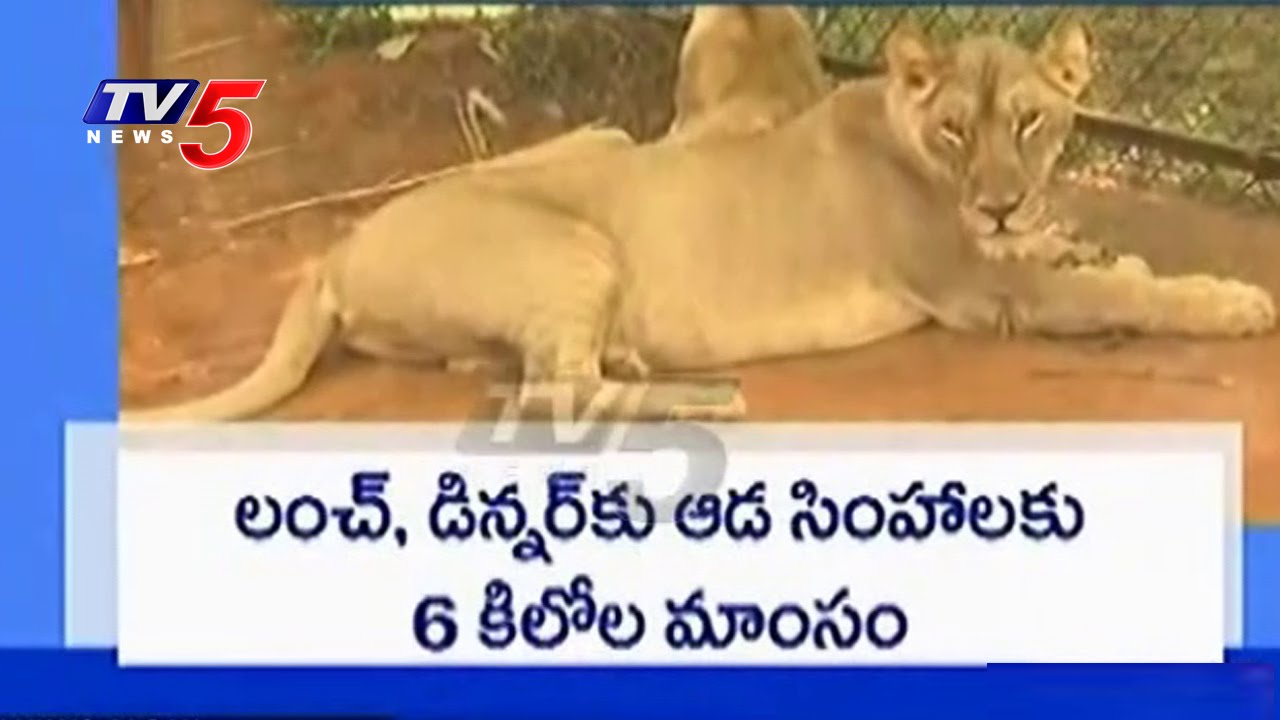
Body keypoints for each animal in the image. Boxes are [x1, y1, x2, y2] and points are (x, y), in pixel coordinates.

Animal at [120, 20, 1275, 423]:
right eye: (956, 130)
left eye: (1031, 121)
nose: (996, 198)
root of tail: (334, 250)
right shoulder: (978, 288)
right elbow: (1114, 291)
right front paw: (1231, 302)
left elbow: (1082, 253)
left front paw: (1079, 234)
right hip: (572, 240)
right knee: (551, 392)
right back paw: (694, 394)